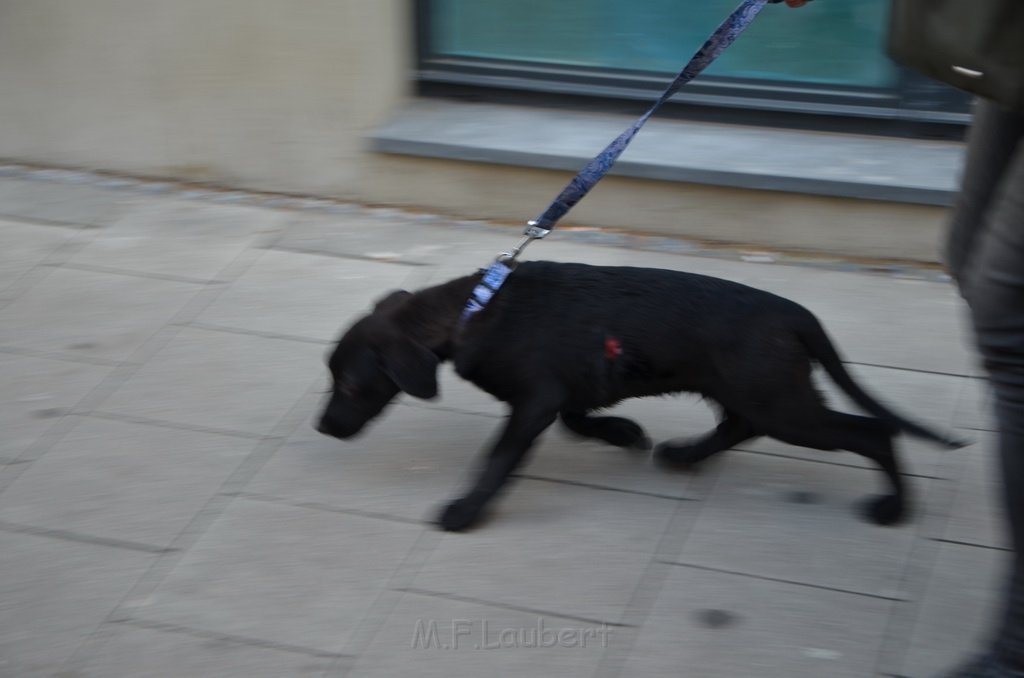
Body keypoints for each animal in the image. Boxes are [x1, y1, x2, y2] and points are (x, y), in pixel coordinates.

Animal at [317, 262, 958, 532]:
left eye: (348, 384)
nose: (323, 428)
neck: (473, 311)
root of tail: (798, 315)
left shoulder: (533, 402)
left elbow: (498, 460)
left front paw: (466, 511)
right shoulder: (561, 389)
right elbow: (577, 416)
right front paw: (622, 432)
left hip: (782, 404)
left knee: (874, 431)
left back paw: (894, 509)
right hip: (753, 390)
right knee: (738, 426)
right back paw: (683, 454)